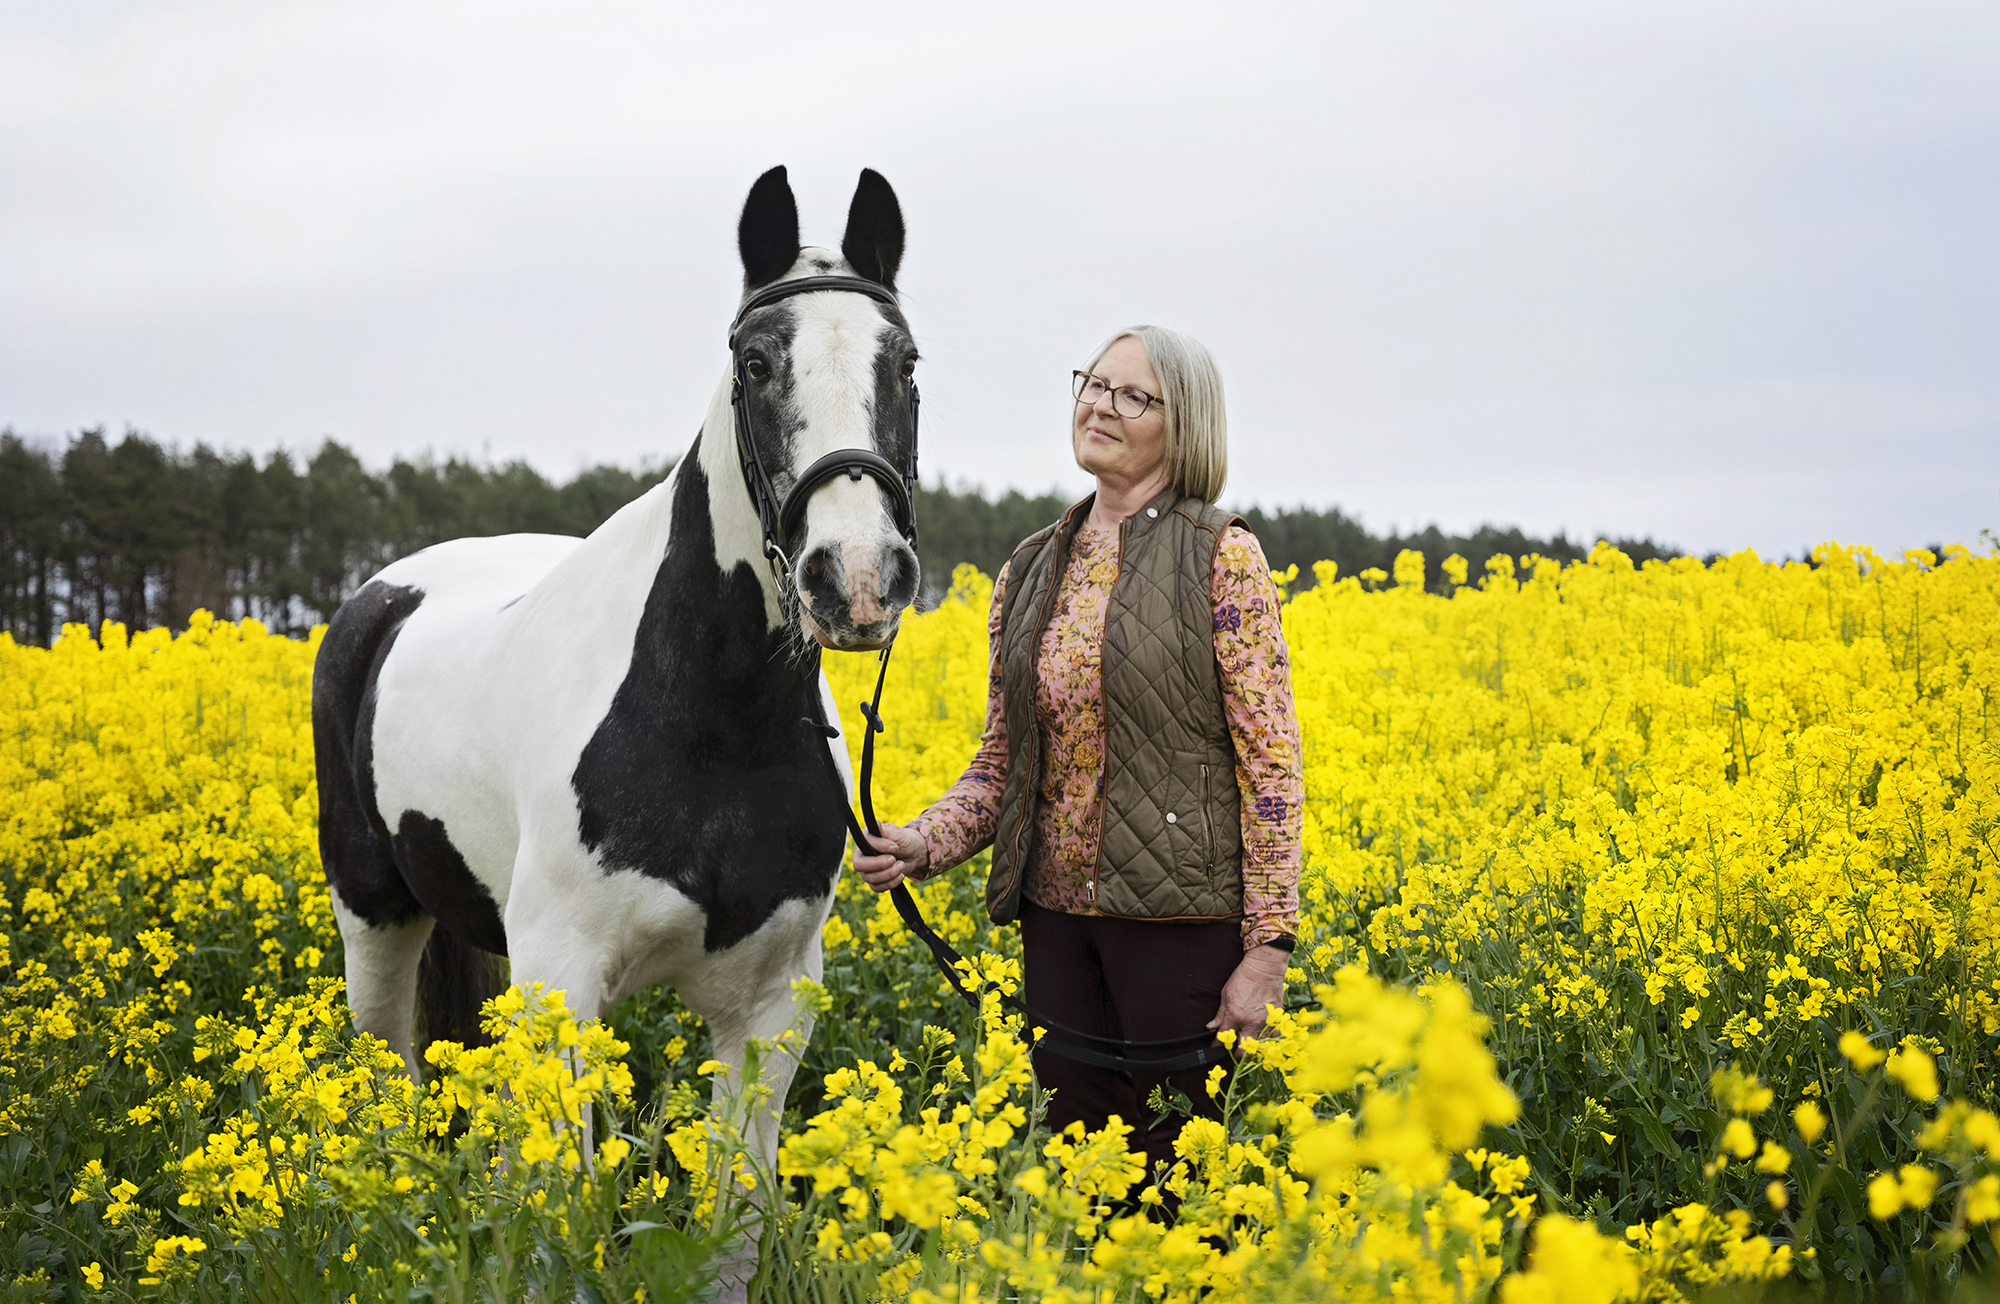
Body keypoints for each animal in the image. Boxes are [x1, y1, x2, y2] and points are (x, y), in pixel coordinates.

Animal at [310, 166, 921, 1184]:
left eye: (906, 363)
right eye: (756, 364)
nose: (858, 575)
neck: (717, 725)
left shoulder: (769, 1006)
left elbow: (735, 1202)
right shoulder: (559, 983)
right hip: (375, 916)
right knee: (389, 1073)